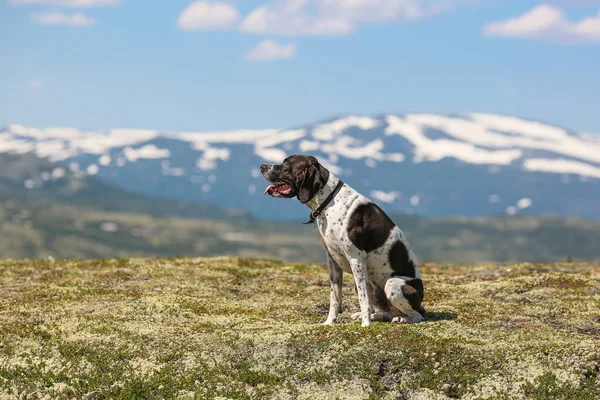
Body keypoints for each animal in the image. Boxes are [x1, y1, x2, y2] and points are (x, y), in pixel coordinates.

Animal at [260, 155, 424, 326]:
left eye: (285, 164)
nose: (262, 166)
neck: (329, 201)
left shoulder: (356, 257)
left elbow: (363, 300)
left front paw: (365, 325)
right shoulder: (332, 260)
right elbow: (335, 298)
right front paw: (329, 322)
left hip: (392, 284)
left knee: (416, 315)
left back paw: (401, 319)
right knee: (386, 311)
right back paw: (375, 316)